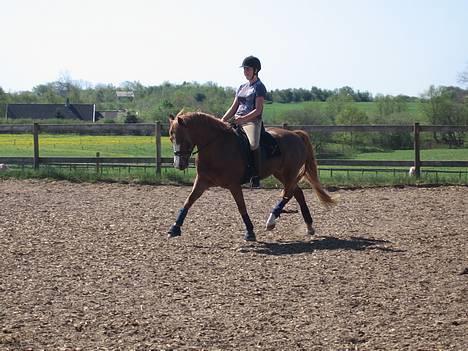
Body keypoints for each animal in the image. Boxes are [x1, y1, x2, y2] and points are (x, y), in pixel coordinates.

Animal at [168, 113, 336, 242]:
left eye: (183, 139)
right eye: (171, 138)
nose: (178, 164)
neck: (216, 146)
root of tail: (295, 135)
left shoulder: (234, 184)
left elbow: (241, 206)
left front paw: (250, 232)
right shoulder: (202, 181)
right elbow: (189, 200)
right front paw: (174, 228)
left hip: (289, 173)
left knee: (288, 194)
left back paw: (271, 221)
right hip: (281, 173)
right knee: (297, 193)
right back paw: (309, 226)